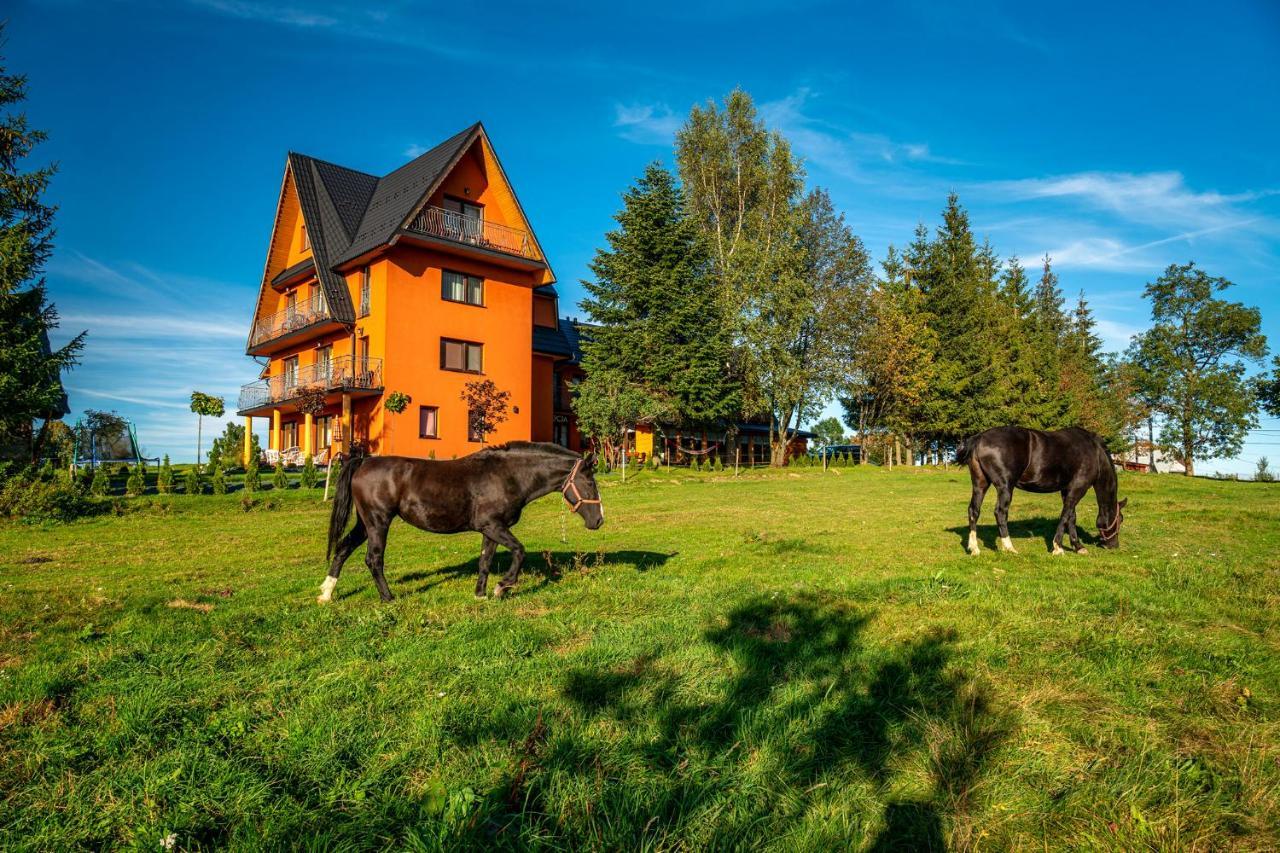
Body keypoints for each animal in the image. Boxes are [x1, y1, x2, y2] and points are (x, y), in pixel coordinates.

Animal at [317, 440, 601, 601]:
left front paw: (480, 595)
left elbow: (485, 561)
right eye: (590, 483)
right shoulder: (494, 526)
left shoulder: (490, 529)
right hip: (378, 522)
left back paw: (326, 594)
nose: (598, 521)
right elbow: (519, 552)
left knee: (342, 549)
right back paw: (388, 598)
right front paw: (502, 587)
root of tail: (363, 462)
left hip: (365, 523)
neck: (507, 475)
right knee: (373, 559)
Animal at [957, 422, 1126, 555]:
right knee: (1000, 512)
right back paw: (1009, 547)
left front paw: (1078, 546)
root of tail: (979, 438)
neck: (1095, 453)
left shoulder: (1067, 490)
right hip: (1005, 486)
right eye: (1120, 519)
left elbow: (1071, 517)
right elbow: (1065, 515)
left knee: (973, 511)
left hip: (980, 484)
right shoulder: (1078, 488)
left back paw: (974, 548)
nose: (1114, 545)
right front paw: (1058, 547)